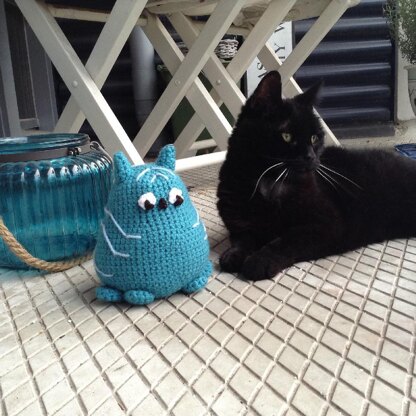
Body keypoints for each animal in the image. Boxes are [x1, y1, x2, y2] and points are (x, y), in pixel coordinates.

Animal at [217, 70, 416, 281]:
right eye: (287, 136)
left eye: (314, 138)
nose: (311, 157)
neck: (268, 181)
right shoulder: (238, 223)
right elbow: (243, 239)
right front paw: (233, 255)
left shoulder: (326, 224)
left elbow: (287, 240)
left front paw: (260, 261)